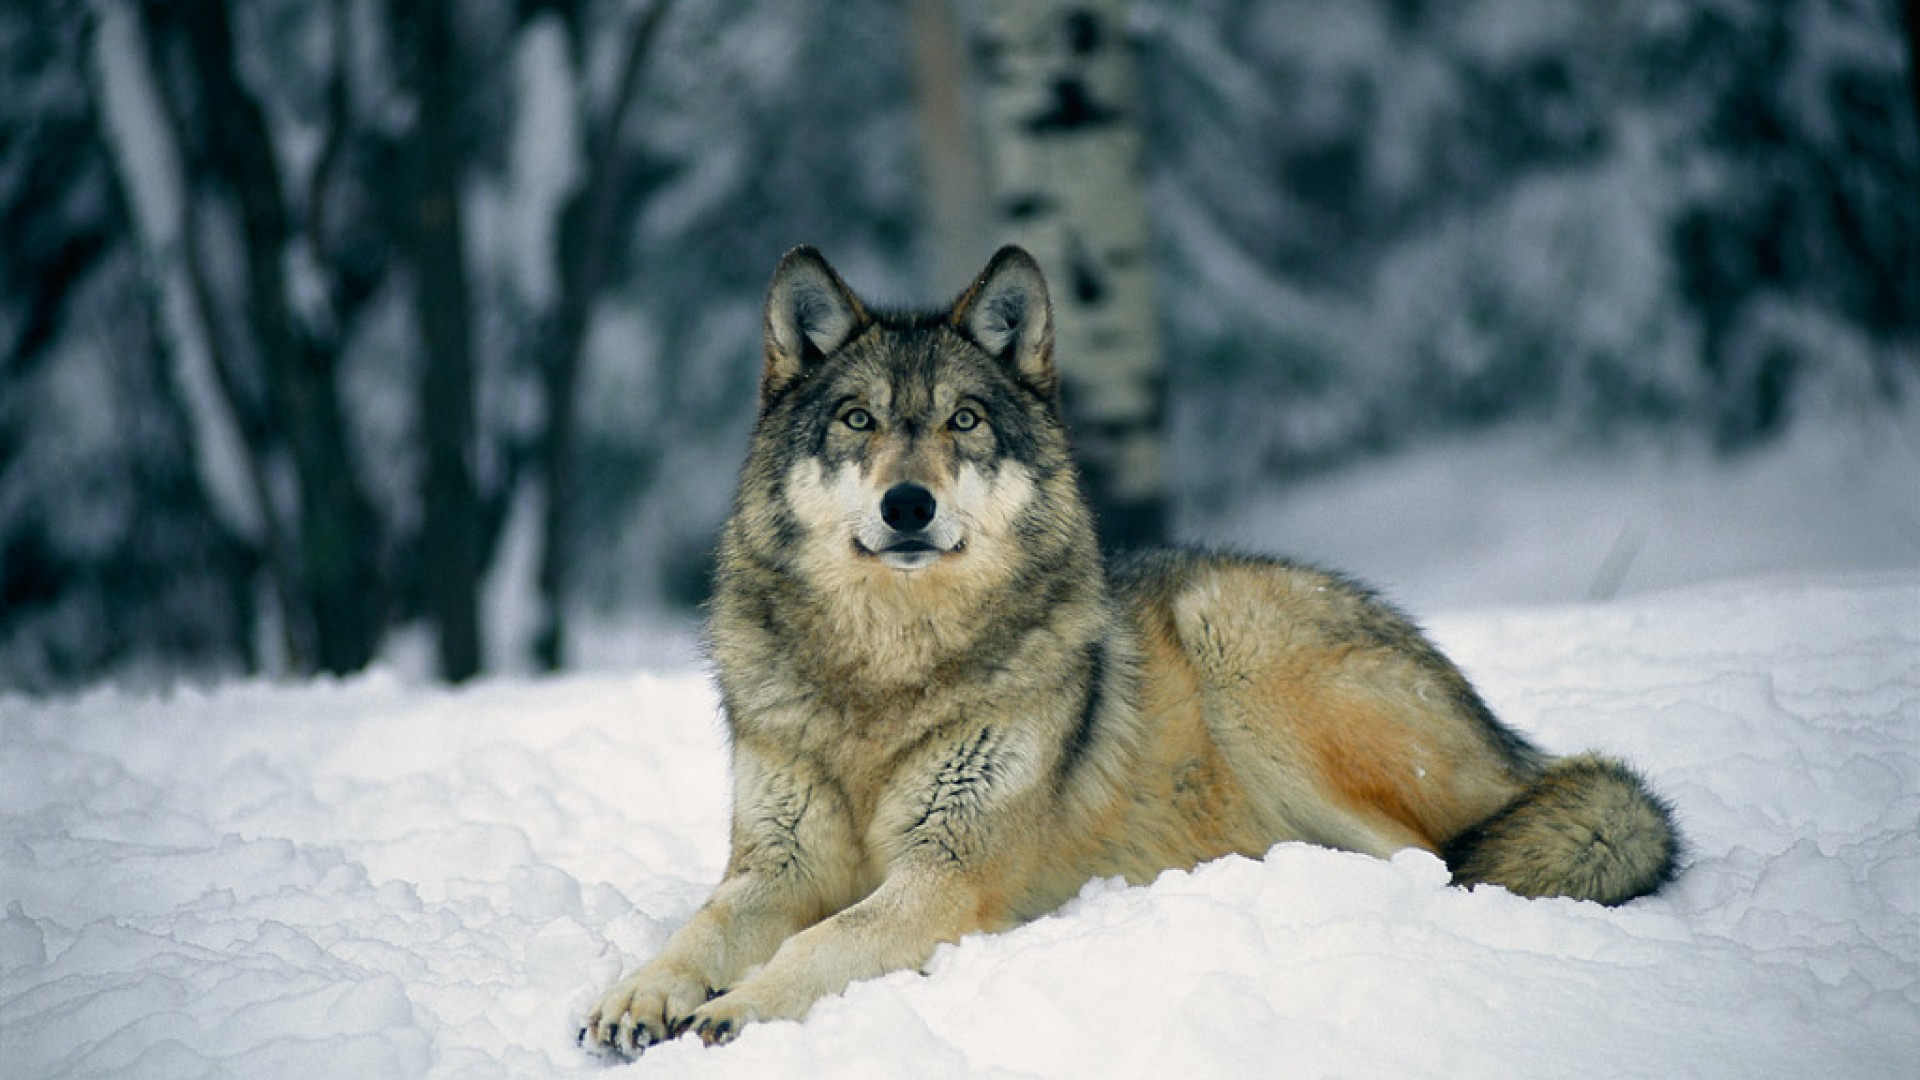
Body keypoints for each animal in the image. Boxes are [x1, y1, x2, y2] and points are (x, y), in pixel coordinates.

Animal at [579, 245, 1679, 1057]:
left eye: (962, 421)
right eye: (859, 420)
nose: (909, 504)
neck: (886, 672)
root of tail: (1511, 743)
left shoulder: (945, 876)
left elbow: (822, 942)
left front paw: (734, 1009)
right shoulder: (775, 866)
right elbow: (700, 928)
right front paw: (639, 995)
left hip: (1240, 645)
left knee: (1434, 861)